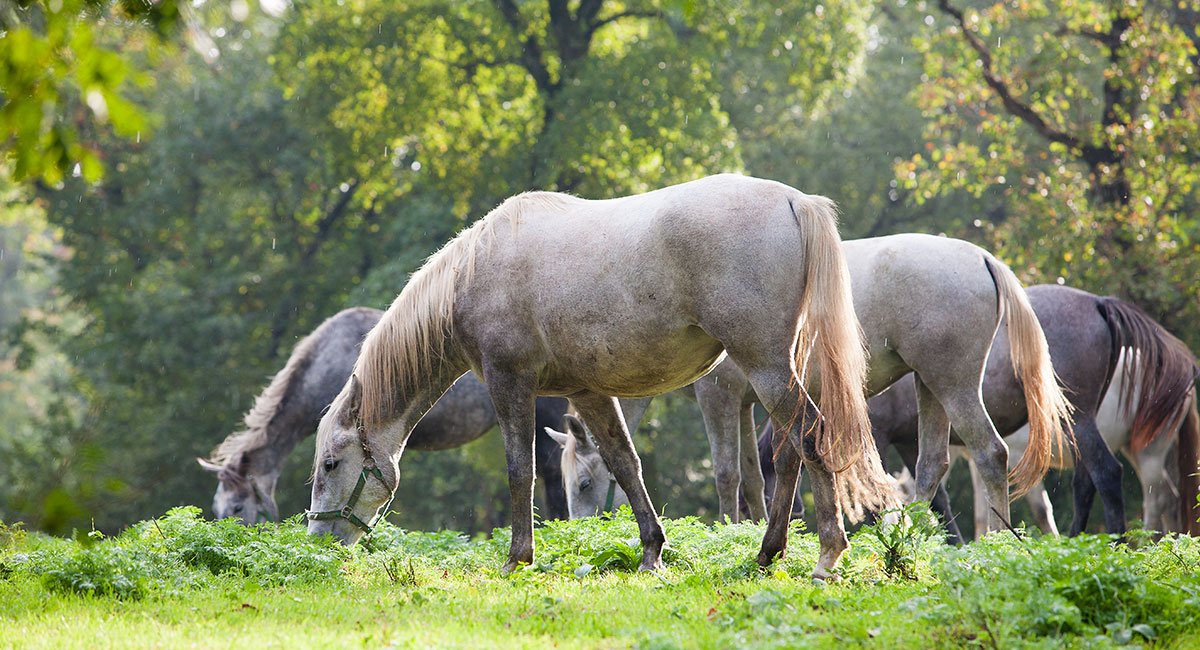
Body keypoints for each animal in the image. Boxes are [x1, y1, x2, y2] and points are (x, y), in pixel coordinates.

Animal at [307, 174, 894, 580]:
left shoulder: (509, 382)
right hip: (777, 370)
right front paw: (652, 553)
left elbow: (520, 470)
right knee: (792, 453)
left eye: (330, 464)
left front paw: (518, 559)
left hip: (764, 365)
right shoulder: (587, 393)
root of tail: (795, 201)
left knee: (810, 440)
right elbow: (624, 463)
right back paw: (768, 553)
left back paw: (826, 555)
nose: (317, 539)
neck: (473, 274)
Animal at [548, 233, 1073, 541]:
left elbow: (726, 474)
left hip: (953, 383)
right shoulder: (747, 405)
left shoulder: (719, 398)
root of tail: (981, 257)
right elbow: (753, 476)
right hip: (931, 384)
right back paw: (909, 535)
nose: (578, 532)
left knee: (990, 454)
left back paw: (995, 541)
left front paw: (728, 531)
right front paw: (755, 530)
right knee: (932, 466)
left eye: (585, 483)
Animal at [867, 285, 1199, 541]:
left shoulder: (880, 433)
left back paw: (1122, 544)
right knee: (1091, 485)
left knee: (1120, 480)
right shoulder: (908, 440)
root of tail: (1098, 303)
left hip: (1125, 442)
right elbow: (939, 497)